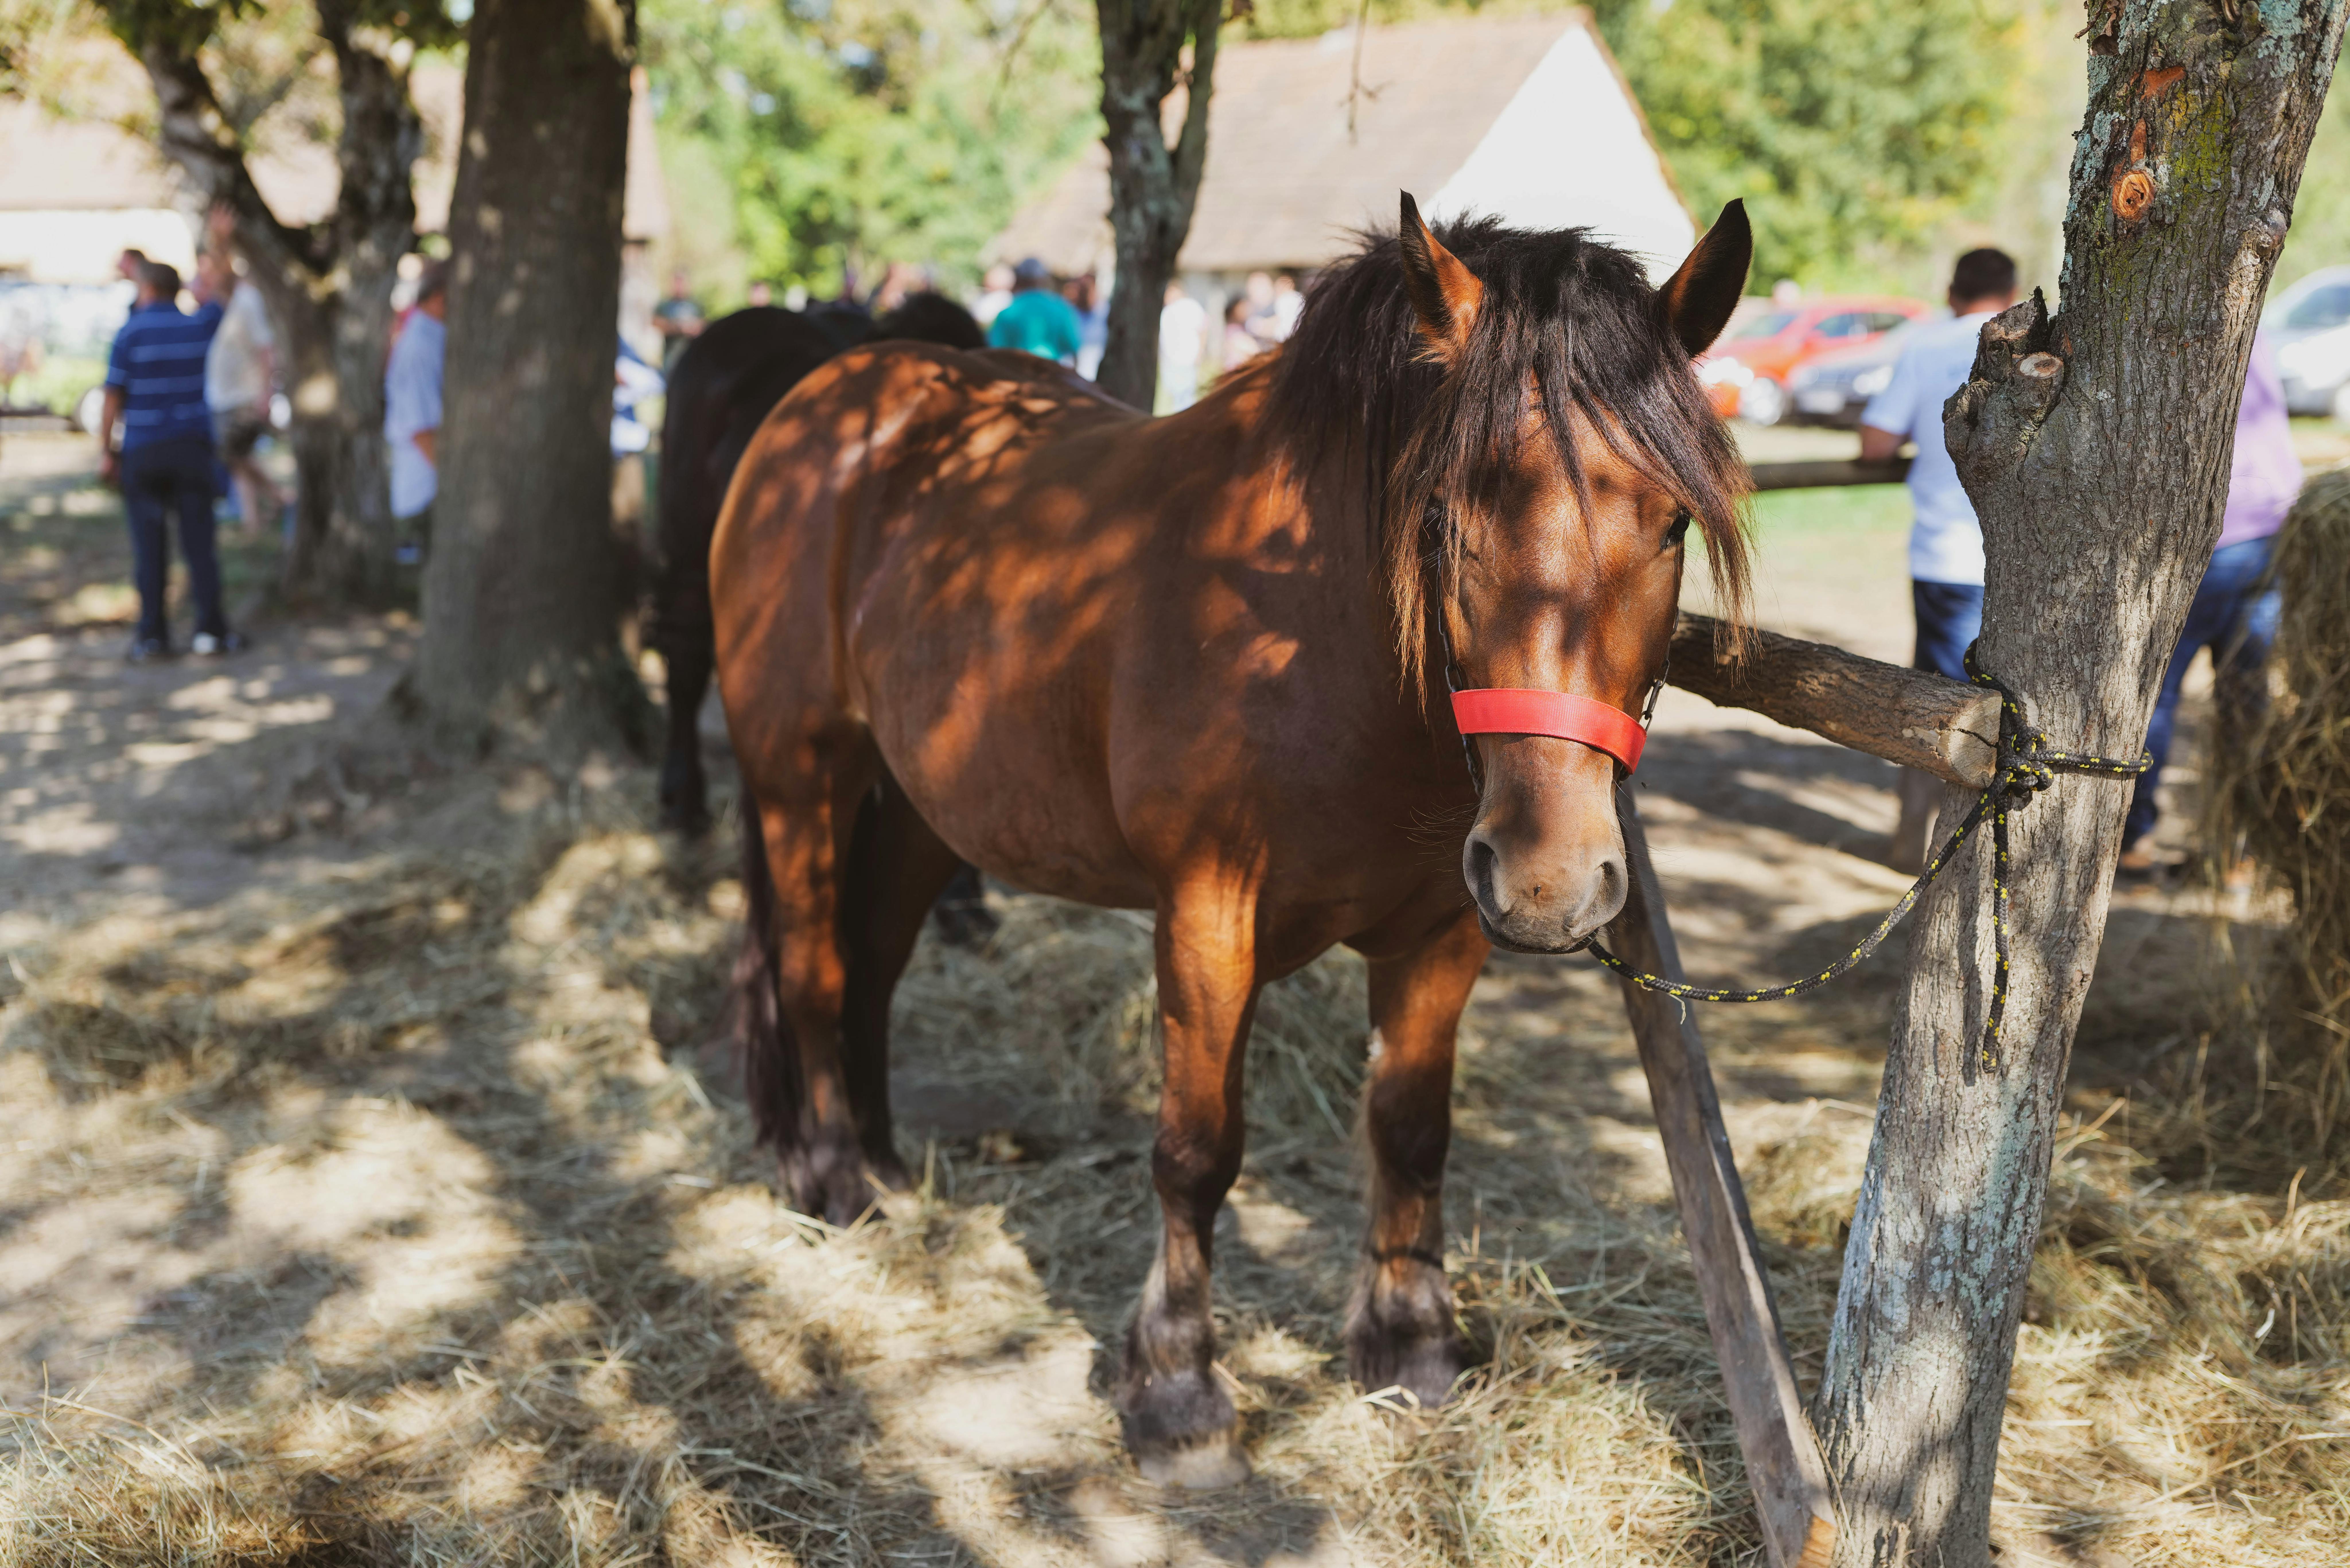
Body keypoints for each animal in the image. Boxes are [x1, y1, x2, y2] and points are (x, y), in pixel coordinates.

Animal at [711, 198, 1753, 1487]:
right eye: (1445, 516)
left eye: (1669, 526)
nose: (1553, 878)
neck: (1320, 645)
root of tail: (831, 396)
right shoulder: (1207, 918)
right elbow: (1197, 1149)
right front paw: (1175, 1384)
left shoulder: (1443, 931)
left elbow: (1410, 1130)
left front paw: (1410, 1343)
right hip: (798, 770)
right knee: (810, 962)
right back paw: (831, 1176)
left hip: (919, 803)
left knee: (871, 958)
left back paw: (885, 1155)